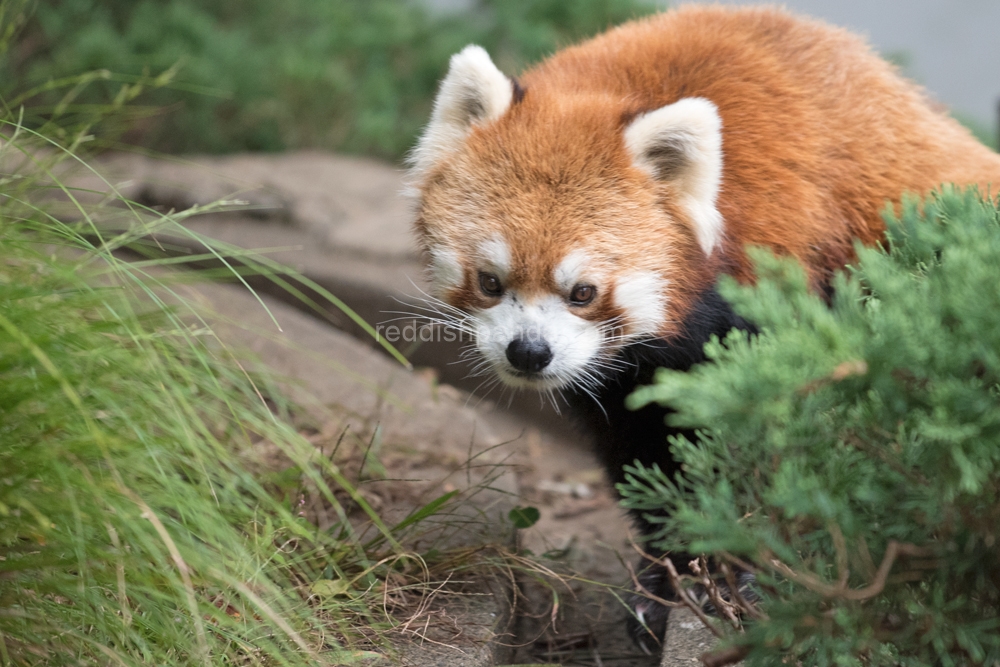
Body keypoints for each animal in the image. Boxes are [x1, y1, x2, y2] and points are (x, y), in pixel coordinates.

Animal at [404, 3, 1000, 652]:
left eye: (583, 293)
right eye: (490, 281)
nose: (529, 353)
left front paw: (747, 572)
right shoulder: (625, 380)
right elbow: (649, 457)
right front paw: (667, 577)